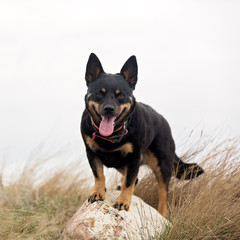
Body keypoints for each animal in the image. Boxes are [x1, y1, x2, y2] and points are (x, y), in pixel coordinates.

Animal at [80, 53, 202, 218]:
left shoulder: (134, 159)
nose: (109, 109)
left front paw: (123, 201)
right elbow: (99, 174)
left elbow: (129, 182)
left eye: (120, 95)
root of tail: (163, 121)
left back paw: (162, 213)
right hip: (122, 163)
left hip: (161, 165)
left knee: (163, 192)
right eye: (99, 93)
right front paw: (98, 192)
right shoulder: (92, 153)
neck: (112, 135)